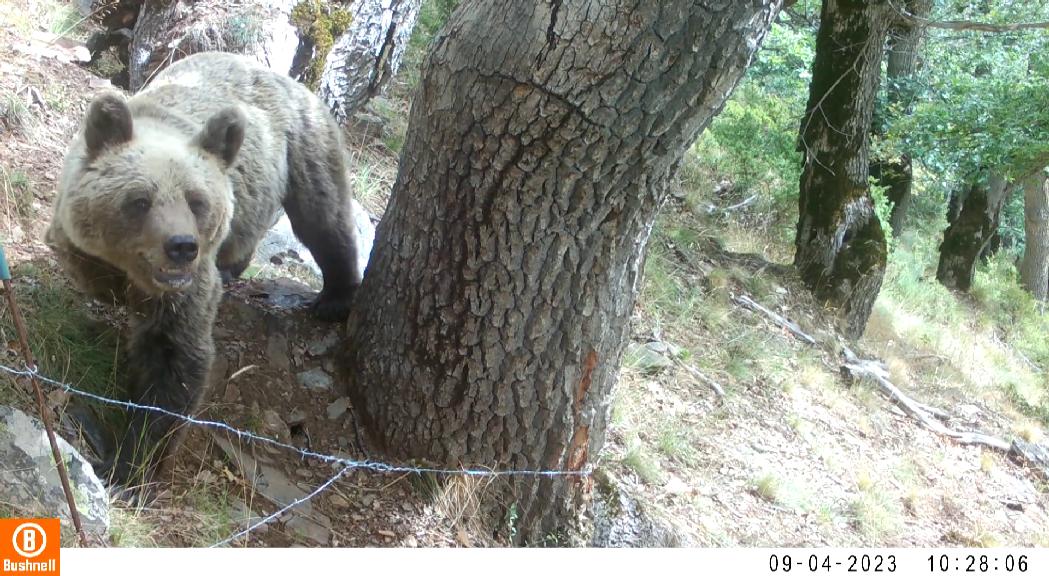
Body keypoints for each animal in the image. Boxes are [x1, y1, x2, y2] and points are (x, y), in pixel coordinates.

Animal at [47, 51, 362, 486]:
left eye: (197, 201)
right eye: (140, 200)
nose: (182, 247)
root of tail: (288, 80)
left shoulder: (185, 291)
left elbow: (175, 360)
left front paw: (129, 464)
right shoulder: (76, 237)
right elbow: (84, 265)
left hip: (304, 146)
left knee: (324, 218)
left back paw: (334, 297)